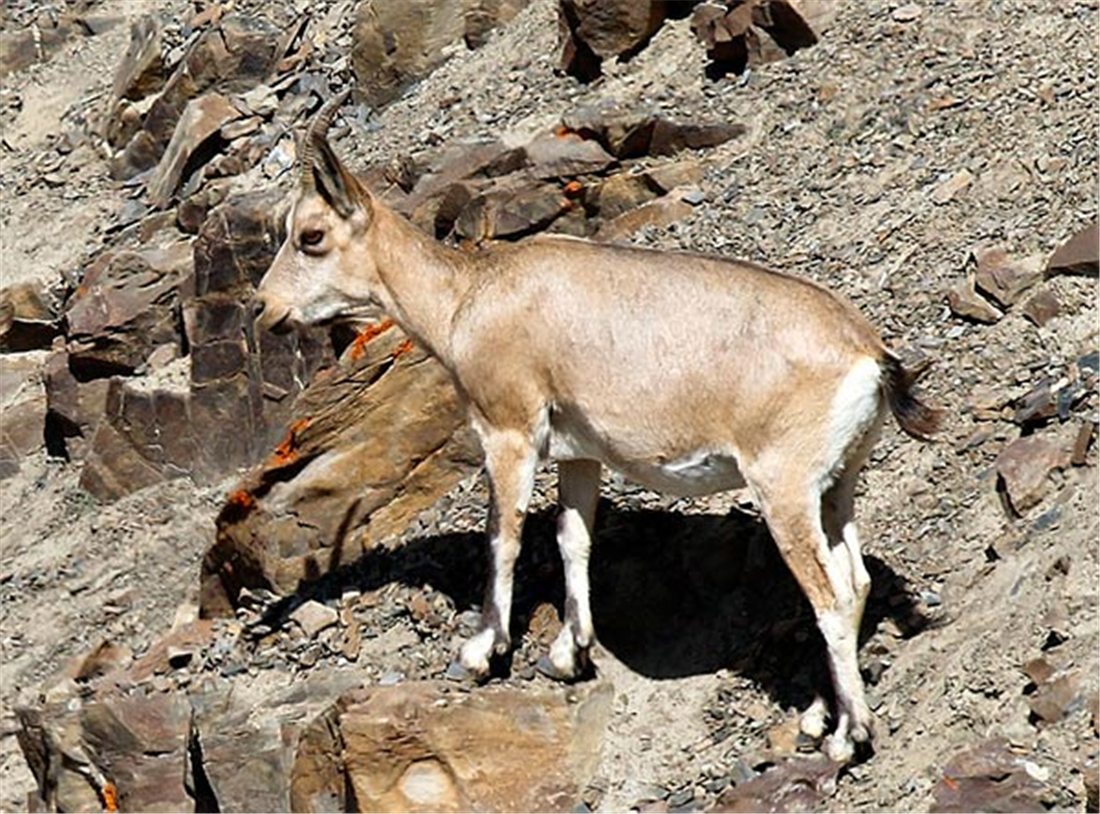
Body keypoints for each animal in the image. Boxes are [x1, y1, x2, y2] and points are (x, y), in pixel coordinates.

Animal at [253, 95, 941, 761]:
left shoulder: (509, 431)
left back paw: (849, 738)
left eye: (310, 234)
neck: (470, 296)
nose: (264, 308)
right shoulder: (578, 453)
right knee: (854, 582)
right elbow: (573, 537)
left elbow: (503, 535)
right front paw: (567, 653)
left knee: (829, 597)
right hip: (835, 488)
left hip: (784, 491)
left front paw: (480, 653)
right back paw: (821, 716)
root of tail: (868, 355)